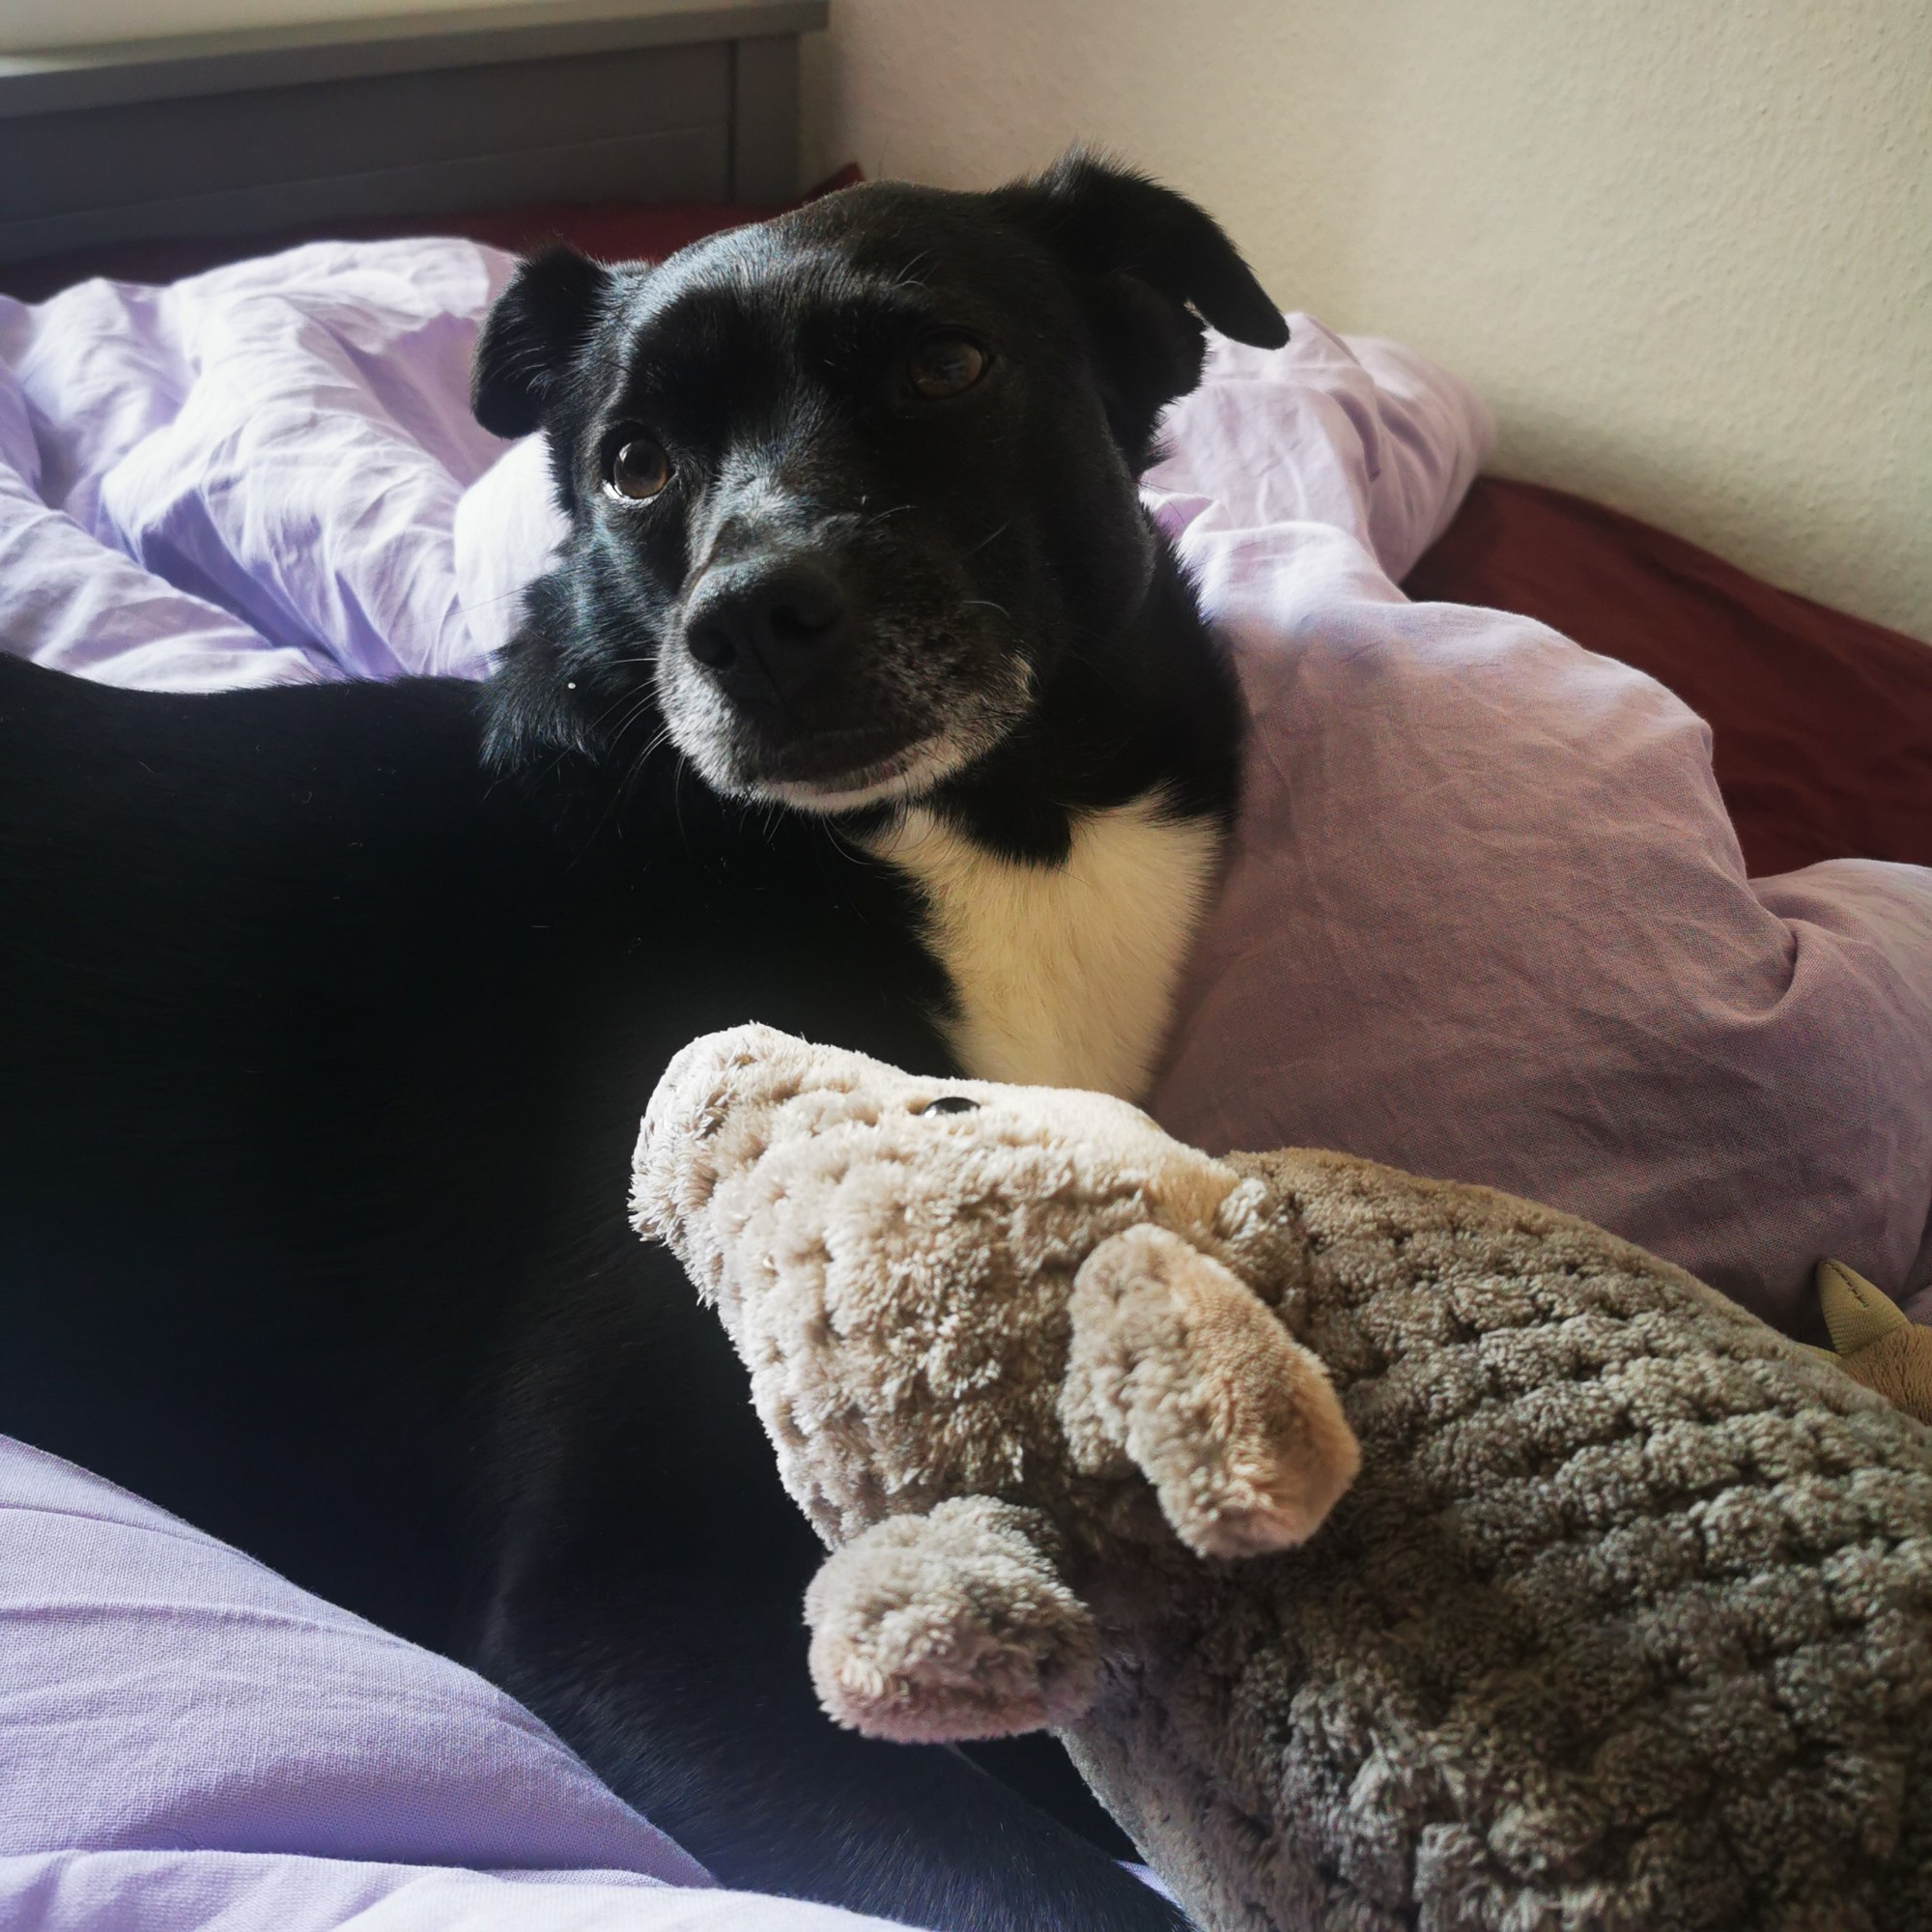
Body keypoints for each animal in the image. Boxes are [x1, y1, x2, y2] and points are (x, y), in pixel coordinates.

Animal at [3, 155, 1283, 1932]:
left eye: (946, 366)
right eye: (634, 463)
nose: (746, 626)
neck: (957, 840)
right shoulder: (624, 1596)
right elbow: (1065, 1886)